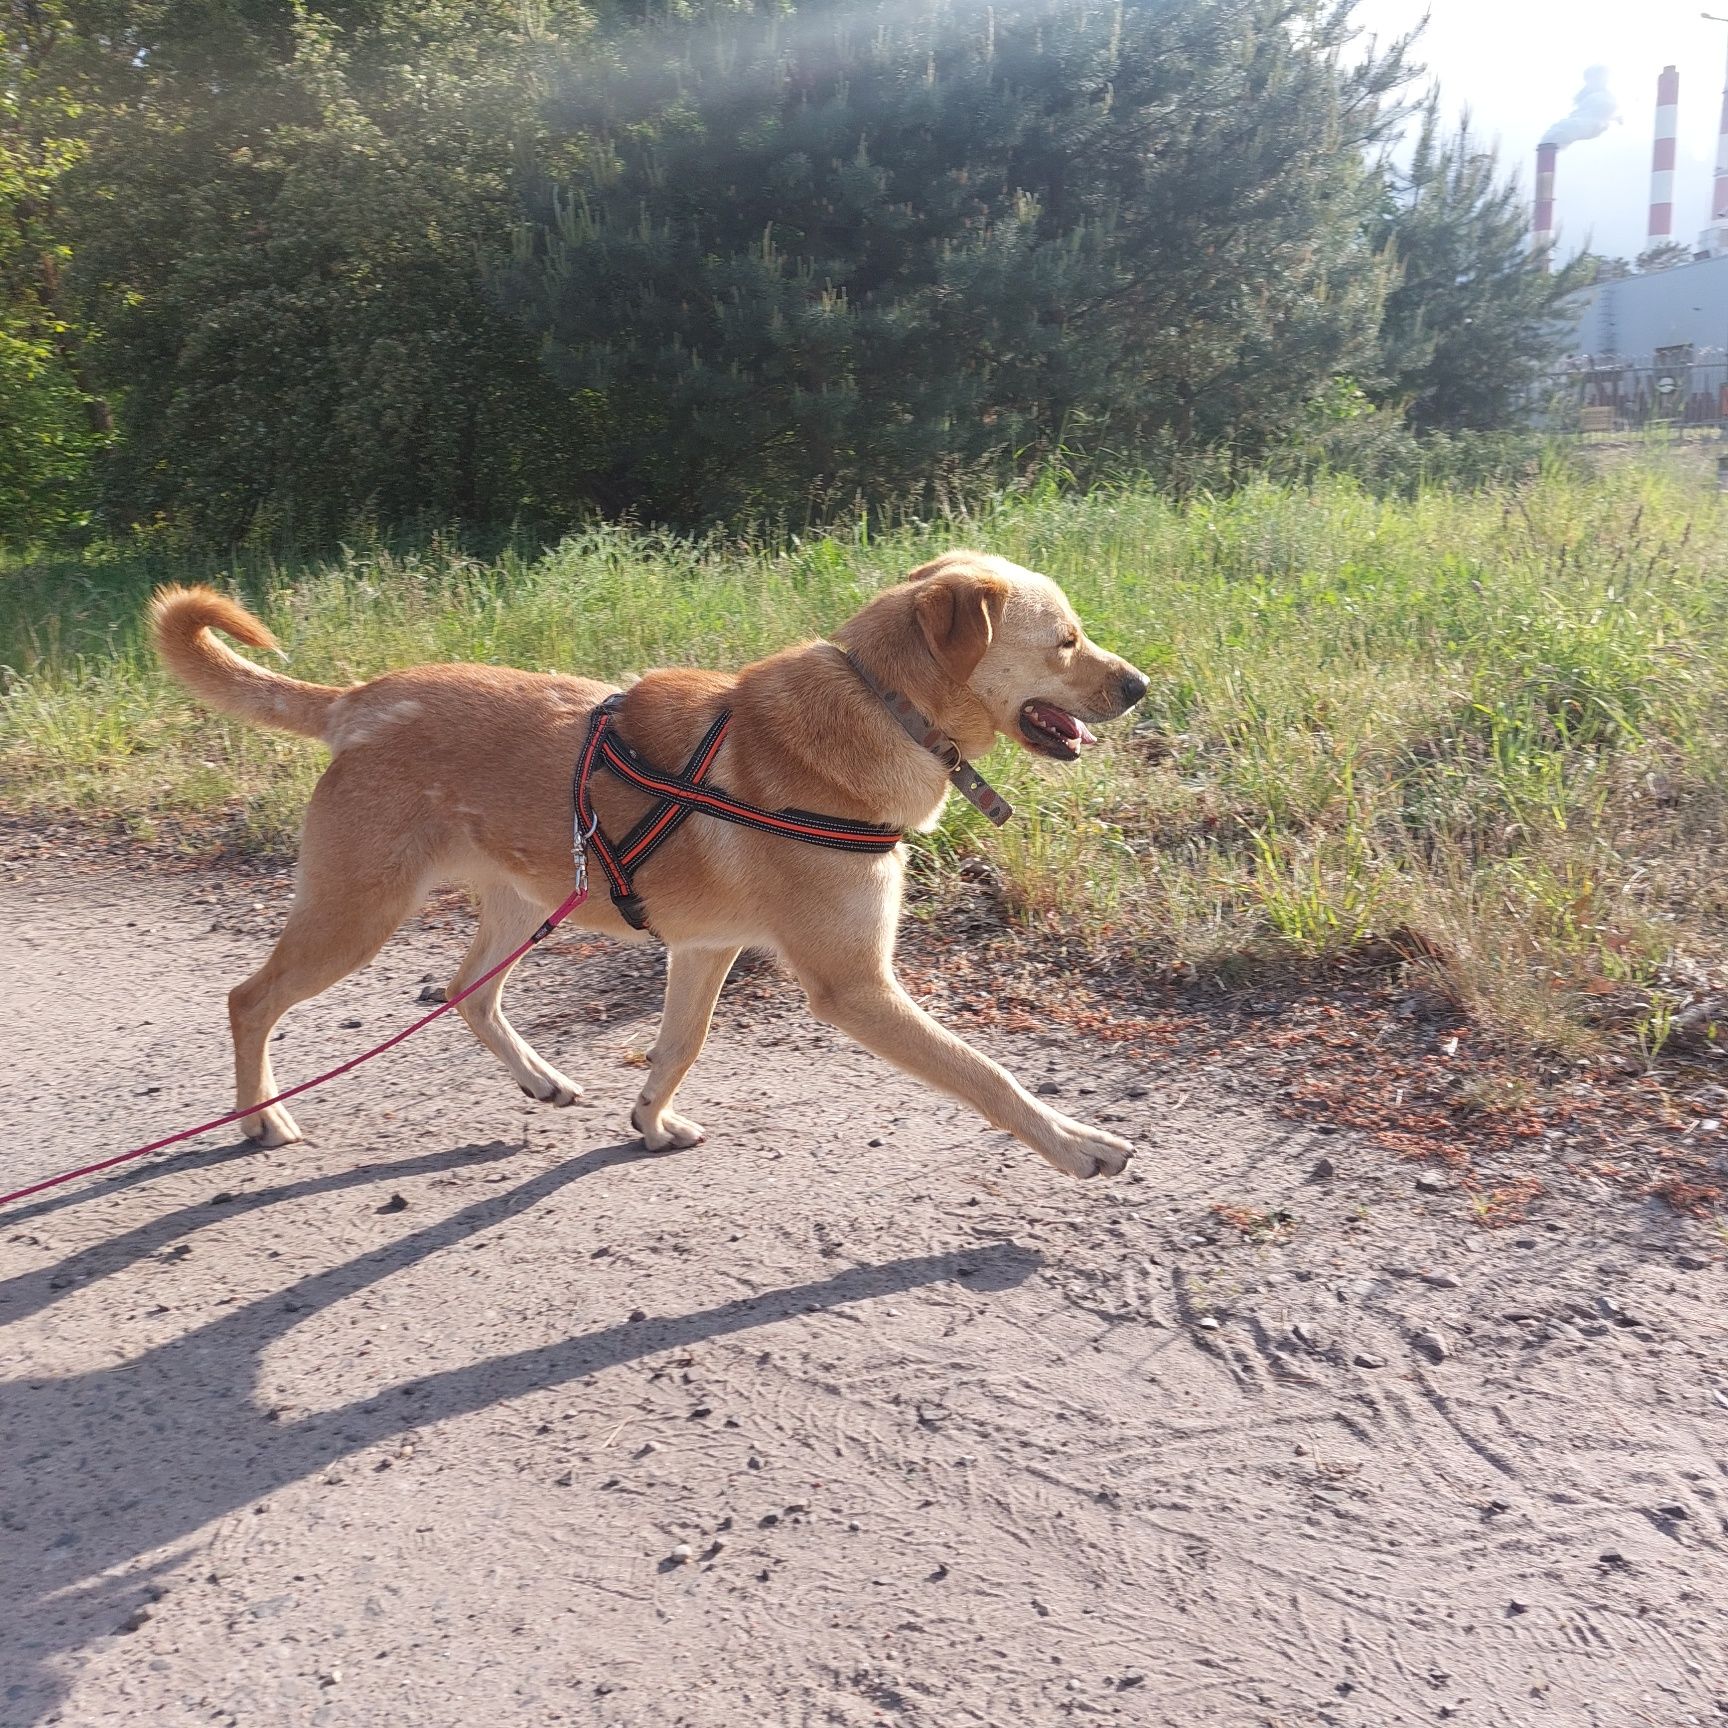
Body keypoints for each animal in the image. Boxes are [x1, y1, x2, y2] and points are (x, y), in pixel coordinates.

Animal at [148, 552, 1147, 1175]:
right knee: (250, 1000)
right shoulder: (855, 987)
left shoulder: (704, 950)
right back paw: (261, 1117)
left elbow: (679, 1046)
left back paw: (540, 1076)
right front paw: (1077, 1143)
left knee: (470, 991)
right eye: (1065, 639)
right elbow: (989, 1077)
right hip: (356, 914)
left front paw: (651, 1122)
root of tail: (359, 700)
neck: (881, 706)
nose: (1140, 685)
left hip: (523, 901)